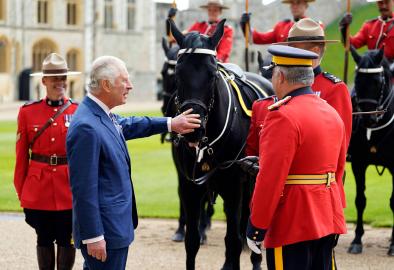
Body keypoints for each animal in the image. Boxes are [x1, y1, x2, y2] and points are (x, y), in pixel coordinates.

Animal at [168, 17, 272, 268]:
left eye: (213, 73)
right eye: (178, 73)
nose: (193, 128)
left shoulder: (234, 187)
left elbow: (234, 240)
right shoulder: (190, 187)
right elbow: (192, 241)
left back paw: (256, 260)